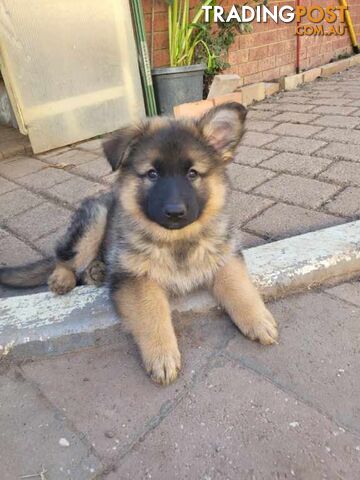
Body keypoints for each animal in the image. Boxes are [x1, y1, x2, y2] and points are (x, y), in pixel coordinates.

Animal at [0, 103, 278, 384]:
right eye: (152, 174)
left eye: (192, 174)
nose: (175, 212)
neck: (176, 240)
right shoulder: (135, 279)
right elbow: (151, 313)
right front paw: (162, 356)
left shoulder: (226, 256)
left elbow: (239, 288)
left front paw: (258, 320)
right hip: (95, 216)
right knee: (64, 256)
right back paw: (62, 278)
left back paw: (97, 271)